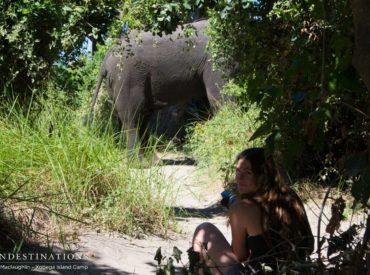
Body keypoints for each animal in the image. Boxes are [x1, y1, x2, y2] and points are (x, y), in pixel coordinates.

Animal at [90, 18, 231, 157]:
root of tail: (107, 56)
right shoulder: (215, 57)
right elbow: (220, 97)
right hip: (127, 76)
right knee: (132, 117)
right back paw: (139, 161)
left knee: (139, 116)